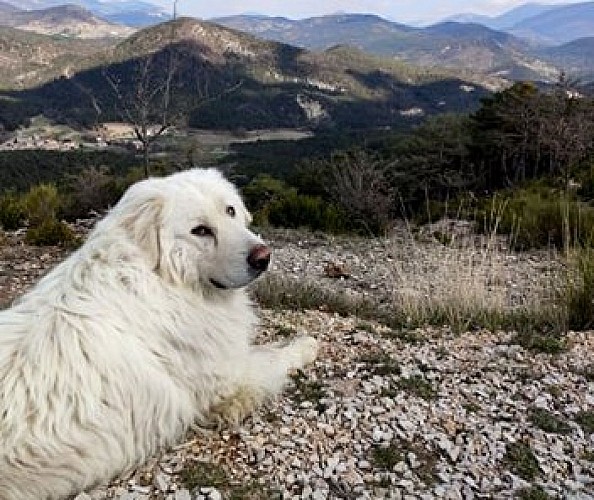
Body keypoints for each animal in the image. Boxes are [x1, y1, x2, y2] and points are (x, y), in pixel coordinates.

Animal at [0, 169, 320, 500]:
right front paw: (305, 345)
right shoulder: (228, 385)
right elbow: (273, 356)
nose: (263, 257)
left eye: (230, 211)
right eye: (200, 231)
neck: (160, 278)